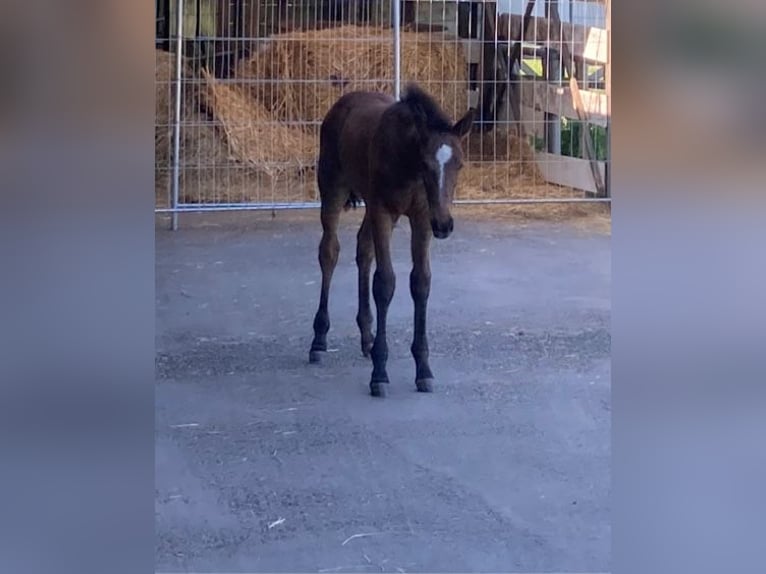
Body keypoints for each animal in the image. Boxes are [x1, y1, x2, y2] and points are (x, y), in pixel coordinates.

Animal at [306, 84, 474, 400]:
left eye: (459, 164)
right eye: (426, 164)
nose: (444, 225)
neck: (406, 161)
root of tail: (343, 102)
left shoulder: (421, 217)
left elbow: (420, 282)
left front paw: (423, 370)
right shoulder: (383, 211)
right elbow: (384, 283)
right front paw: (379, 374)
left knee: (363, 250)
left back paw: (366, 337)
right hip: (333, 187)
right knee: (329, 252)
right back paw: (319, 340)